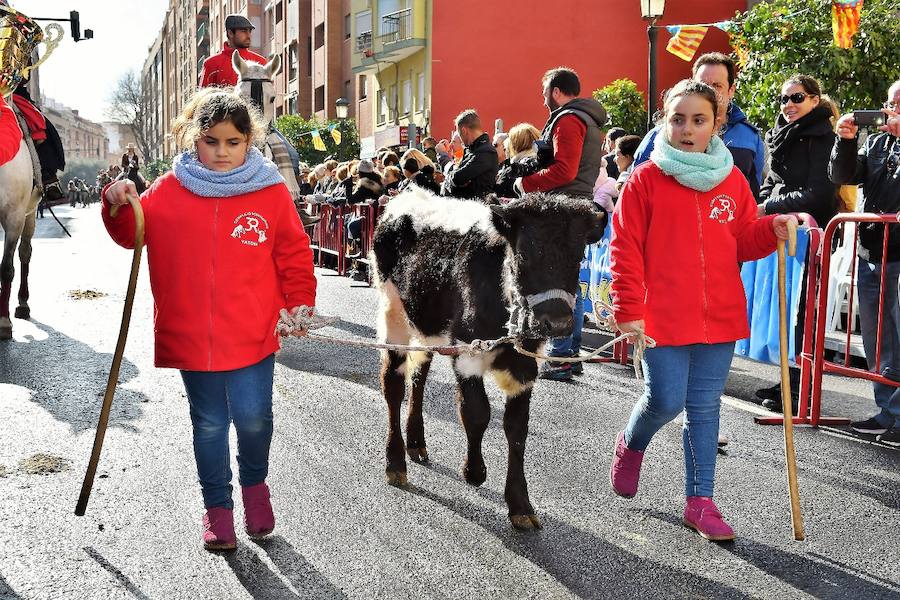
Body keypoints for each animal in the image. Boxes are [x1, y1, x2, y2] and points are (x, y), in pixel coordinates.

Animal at [370, 188, 608, 528]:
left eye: (578, 257)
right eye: (524, 255)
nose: (558, 323)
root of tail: (409, 195)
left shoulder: (526, 365)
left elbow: (517, 427)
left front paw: (520, 504)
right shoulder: (467, 350)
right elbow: (476, 412)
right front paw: (474, 471)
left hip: (427, 326)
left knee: (419, 376)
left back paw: (416, 442)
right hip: (393, 315)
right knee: (393, 385)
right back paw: (395, 462)